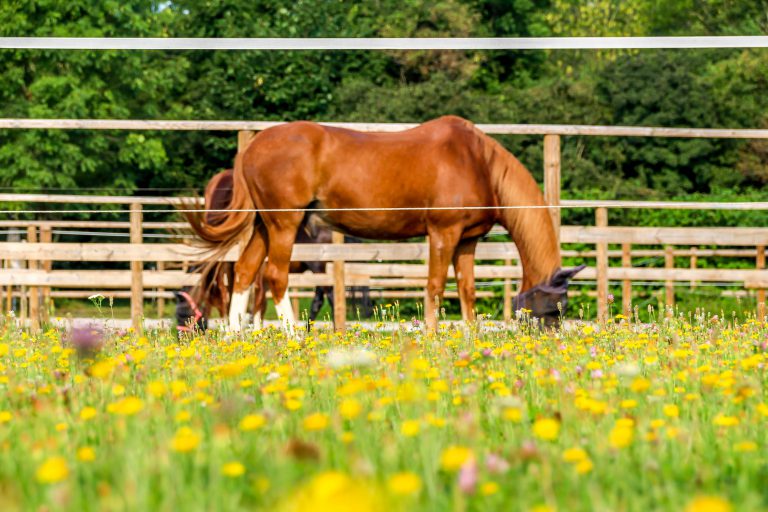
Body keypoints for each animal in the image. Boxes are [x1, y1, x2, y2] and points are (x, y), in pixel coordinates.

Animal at [185, 116, 584, 331]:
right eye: (555, 308)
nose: (547, 344)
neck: (478, 161)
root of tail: (250, 149)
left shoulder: (467, 241)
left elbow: (467, 292)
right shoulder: (443, 233)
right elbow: (435, 287)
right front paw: (433, 339)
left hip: (263, 227)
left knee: (244, 273)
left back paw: (234, 338)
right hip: (284, 226)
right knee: (274, 278)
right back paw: (295, 338)